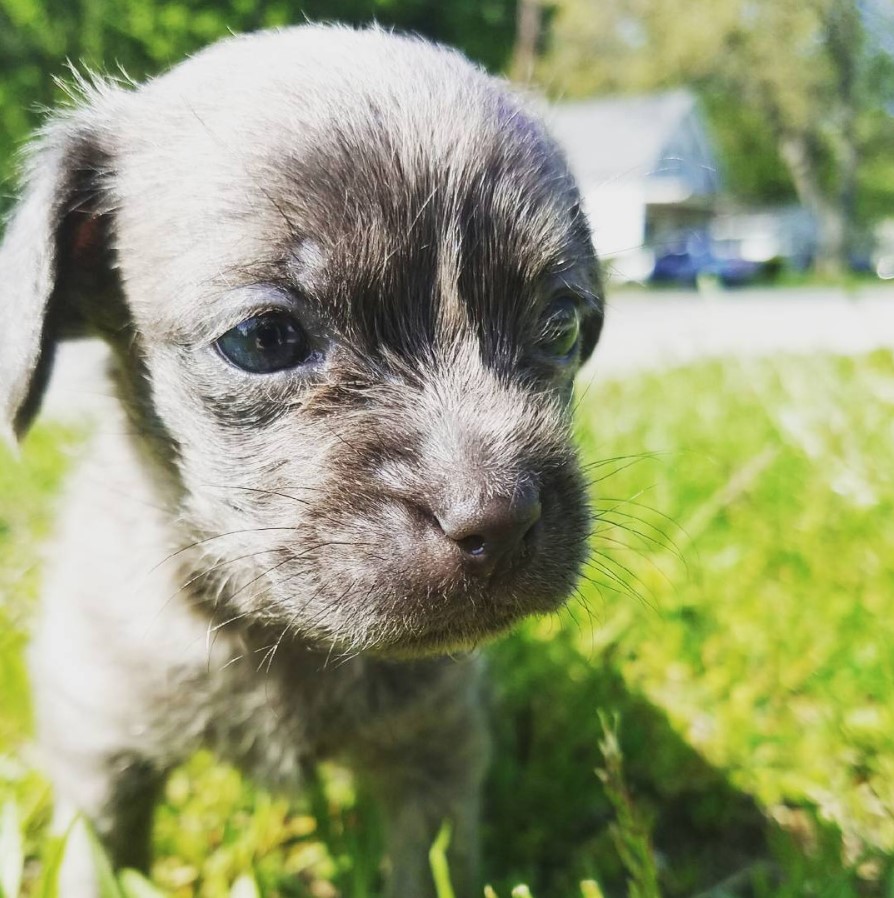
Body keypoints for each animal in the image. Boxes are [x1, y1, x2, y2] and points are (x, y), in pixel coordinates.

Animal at [0, 26, 604, 896]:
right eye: (262, 340)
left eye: (562, 326)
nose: (501, 520)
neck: (278, 634)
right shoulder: (100, 759)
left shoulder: (435, 760)